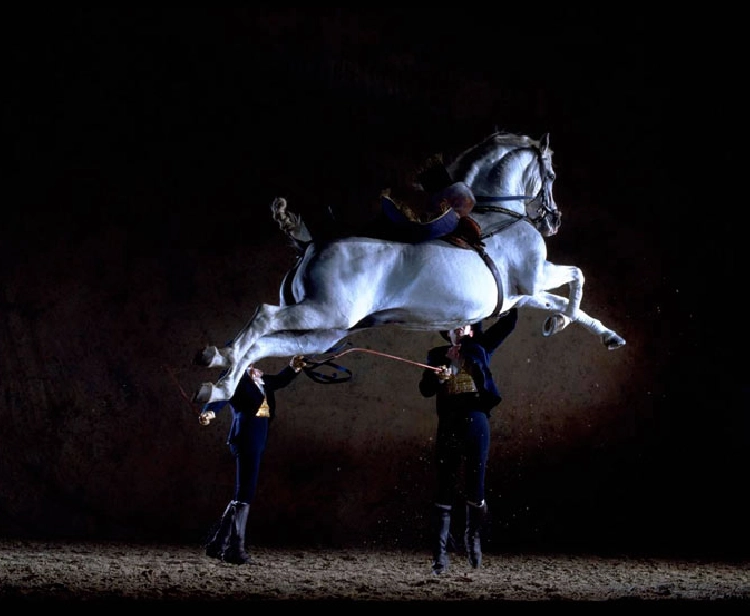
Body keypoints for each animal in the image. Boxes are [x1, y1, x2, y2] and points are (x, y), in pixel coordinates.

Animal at [192, 132, 624, 404]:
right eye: (551, 173)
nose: (554, 220)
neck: (499, 215)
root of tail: (310, 244)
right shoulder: (537, 277)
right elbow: (577, 277)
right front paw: (560, 323)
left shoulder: (522, 295)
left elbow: (567, 301)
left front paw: (601, 334)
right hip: (323, 313)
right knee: (262, 318)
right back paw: (220, 359)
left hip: (324, 333)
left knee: (264, 345)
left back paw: (218, 383)